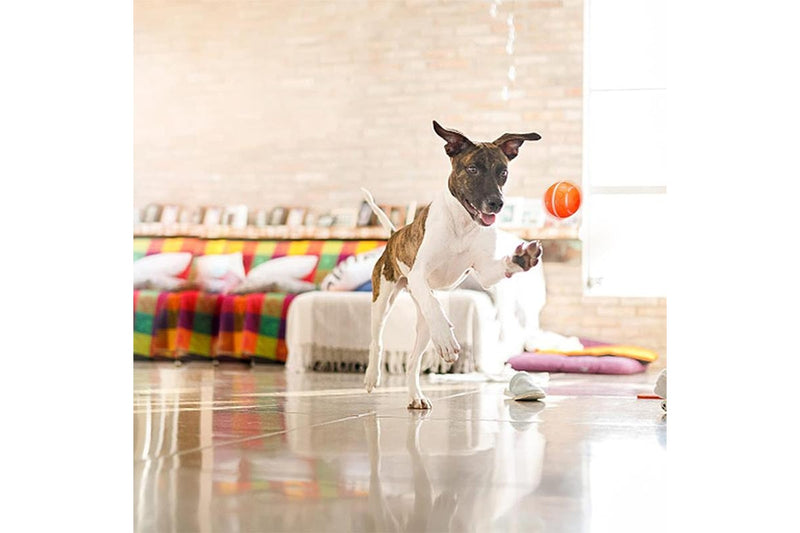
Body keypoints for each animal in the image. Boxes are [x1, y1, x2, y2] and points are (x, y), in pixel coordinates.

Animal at [364, 121, 544, 408]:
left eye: (502, 172)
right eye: (472, 169)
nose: (497, 203)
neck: (463, 223)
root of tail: (394, 235)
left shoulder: (486, 273)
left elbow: (500, 268)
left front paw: (522, 258)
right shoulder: (419, 274)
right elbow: (435, 305)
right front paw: (447, 339)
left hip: (422, 325)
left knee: (413, 360)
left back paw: (415, 395)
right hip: (383, 300)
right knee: (377, 340)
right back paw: (372, 376)